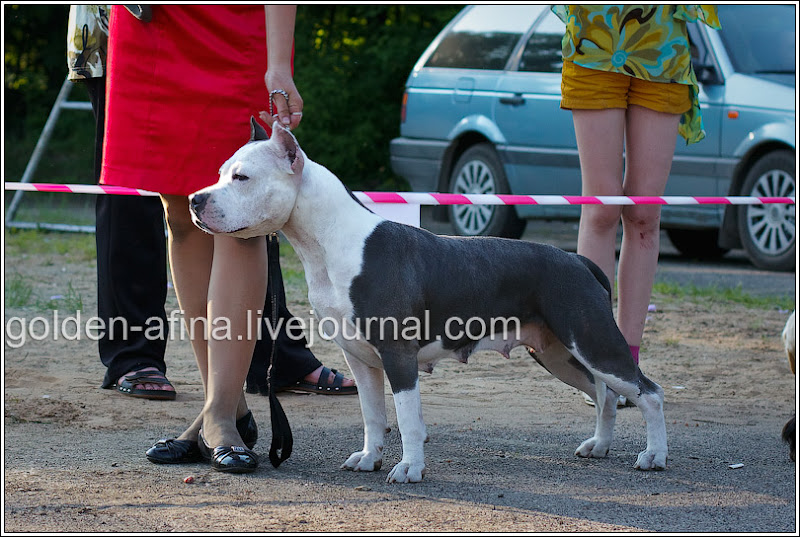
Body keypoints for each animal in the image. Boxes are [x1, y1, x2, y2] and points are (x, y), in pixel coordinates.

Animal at [189, 120, 668, 482]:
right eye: (220, 172)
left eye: (242, 178)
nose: (195, 199)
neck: (328, 241)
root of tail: (578, 262)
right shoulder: (359, 358)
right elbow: (372, 414)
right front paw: (370, 458)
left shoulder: (397, 353)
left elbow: (408, 419)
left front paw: (409, 469)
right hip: (556, 352)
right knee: (606, 393)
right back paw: (600, 446)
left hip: (592, 340)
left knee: (647, 391)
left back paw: (654, 456)